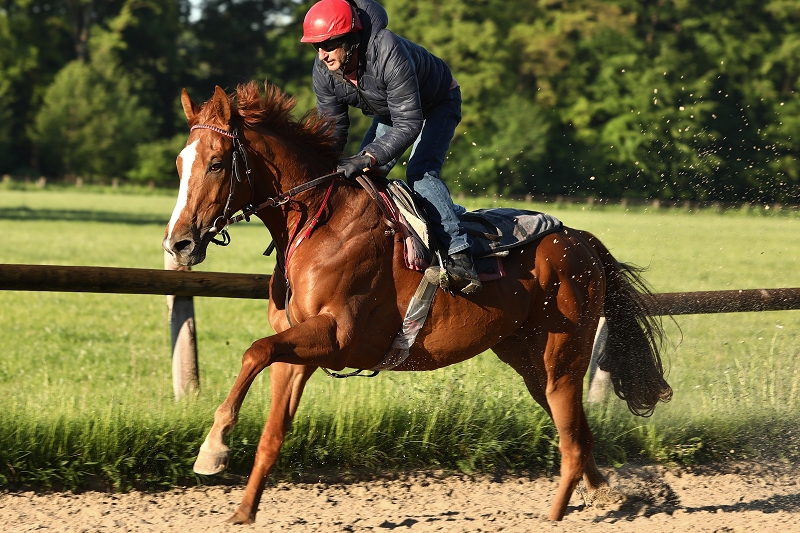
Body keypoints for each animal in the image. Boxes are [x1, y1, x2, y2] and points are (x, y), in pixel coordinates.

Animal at [163, 81, 672, 525]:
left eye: (216, 164)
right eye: (180, 164)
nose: (179, 243)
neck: (318, 222)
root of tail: (580, 237)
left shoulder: (336, 336)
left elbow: (255, 350)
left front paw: (213, 447)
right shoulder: (300, 346)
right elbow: (271, 427)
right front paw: (242, 509)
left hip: (563, 354)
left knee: (570, 437)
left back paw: (555, 514)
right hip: (528, 359)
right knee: (577, 431)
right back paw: (603, 493)